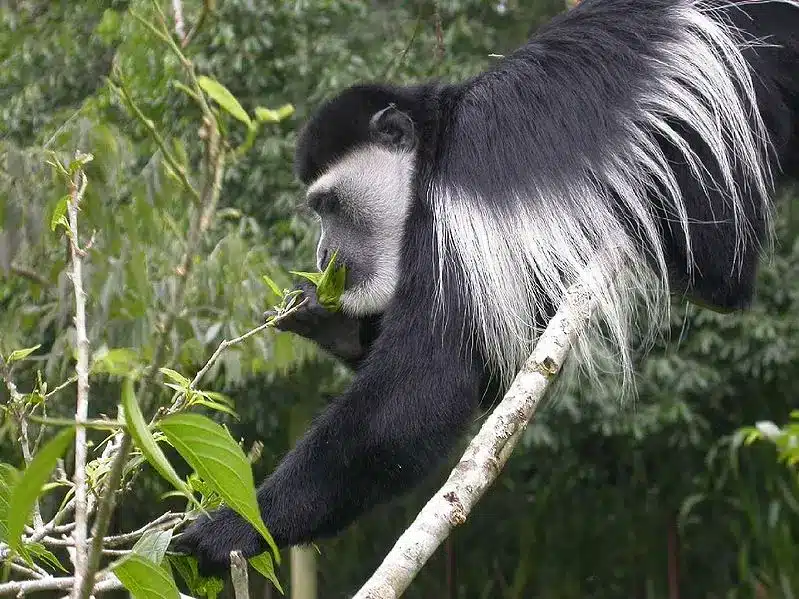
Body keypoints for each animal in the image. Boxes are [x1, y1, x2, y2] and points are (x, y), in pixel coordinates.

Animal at [177, 0, 799, 576]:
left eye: (328, 205)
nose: (323, 255)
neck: (434, 141)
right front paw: (325, 320)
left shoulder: (450, 210)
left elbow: (419, 395)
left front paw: (231, 529)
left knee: (722, 258)